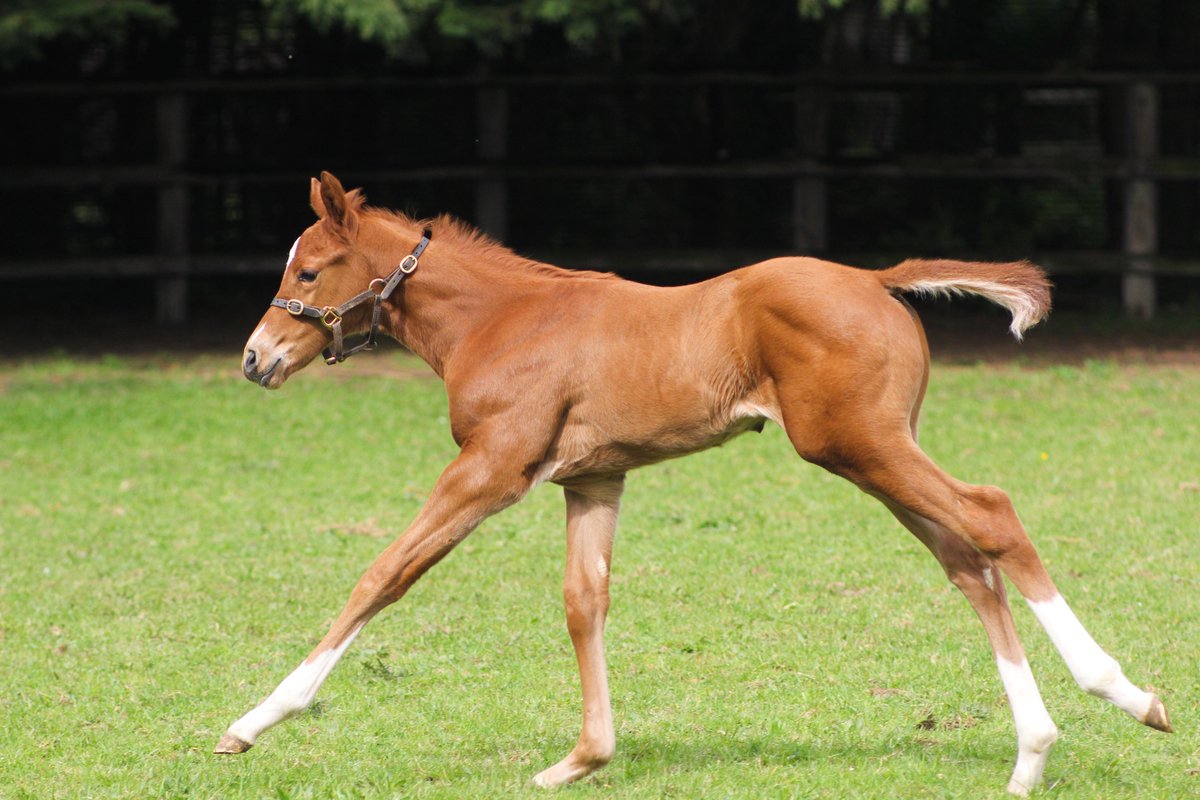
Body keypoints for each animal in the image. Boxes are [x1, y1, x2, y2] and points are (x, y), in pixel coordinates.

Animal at [218, 172, 1171, 791]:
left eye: (309, 270)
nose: (256, 359)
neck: (501, 318)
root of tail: (875, 279)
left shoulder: (491, 469)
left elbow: (385, 573)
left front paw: (256, 722)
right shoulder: (594, 480)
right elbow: (584, 600)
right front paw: (584, 759)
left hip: (858, 445)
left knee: (991, 515)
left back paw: (1122, 695)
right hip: (875, 453)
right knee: (969, 563)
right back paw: (1032, 753)